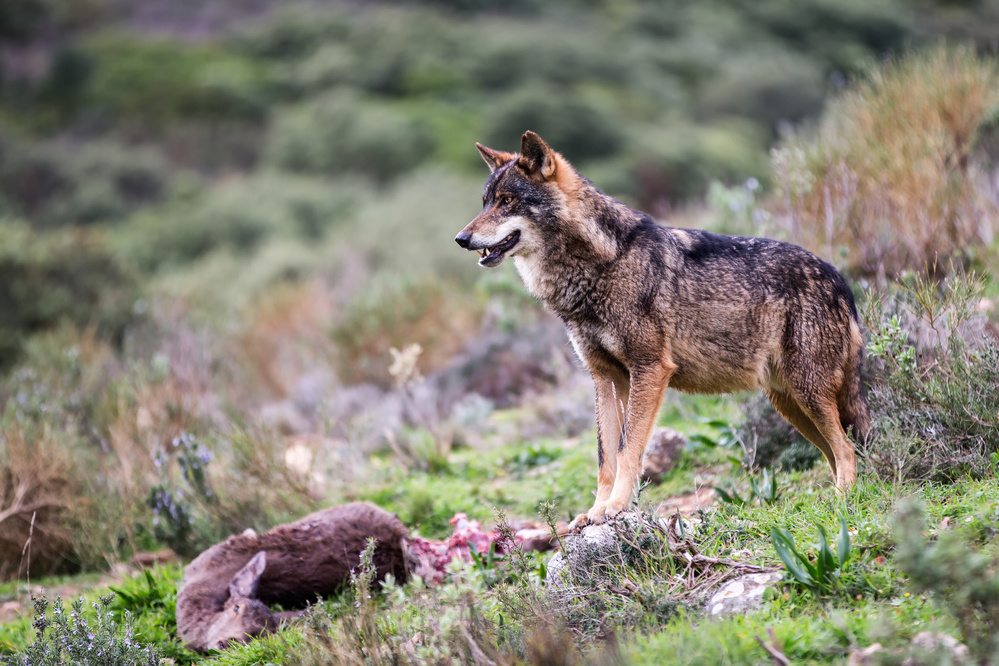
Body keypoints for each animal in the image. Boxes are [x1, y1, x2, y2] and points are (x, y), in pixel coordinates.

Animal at [454, 130, 868, 524]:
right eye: (485, 201)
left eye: (508, 200)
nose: (462, 238)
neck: (599, 265)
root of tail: (839, 279)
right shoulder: (605, 378)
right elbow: (605, 457)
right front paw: (595, 511)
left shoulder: (650, 369)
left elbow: (627, 450)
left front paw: (615, 508)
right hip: (789, 403)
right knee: (837, 451)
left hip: (808, 393)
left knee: (846, 448)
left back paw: (843, 503)